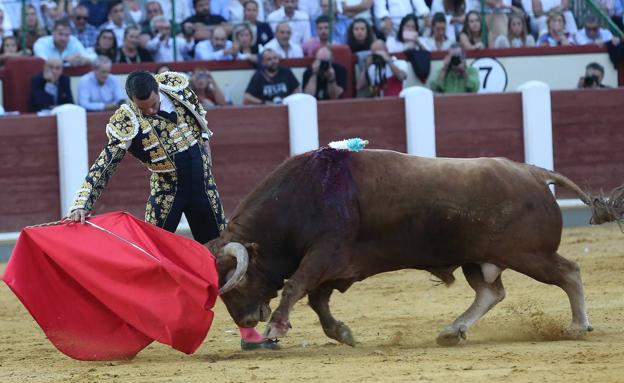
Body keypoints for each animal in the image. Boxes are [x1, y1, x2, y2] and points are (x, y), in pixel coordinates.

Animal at [206, 148, 624, 348]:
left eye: (236, 285)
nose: (247, 322)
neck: (305, 194)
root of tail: (534, 171)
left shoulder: (325, 254)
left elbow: (296, 287)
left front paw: (276, 327)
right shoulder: (335, 267)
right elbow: (318, 301)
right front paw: (342, 333)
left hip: (529, 255)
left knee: (569, 272)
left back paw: (578, 325)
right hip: (478, 259)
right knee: (491, 292)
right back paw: (452, 331)